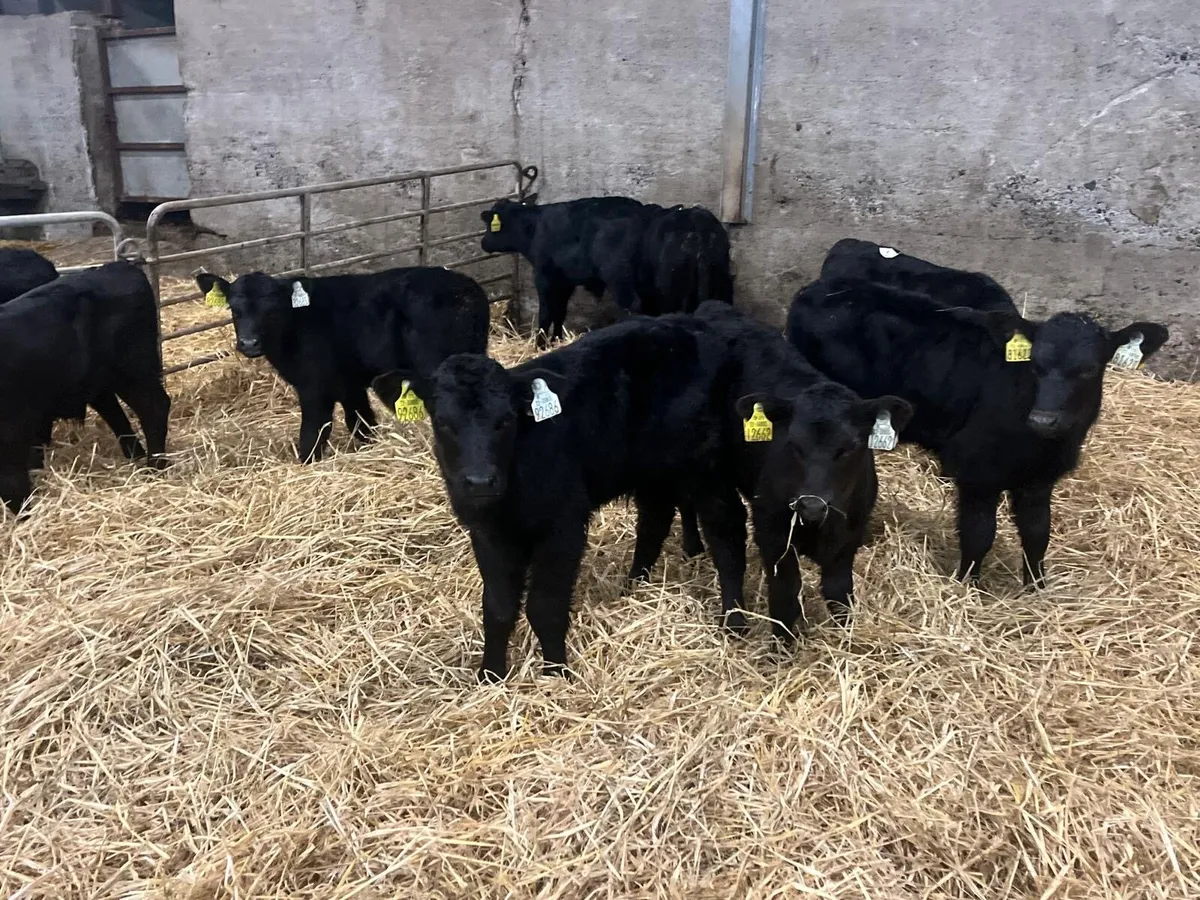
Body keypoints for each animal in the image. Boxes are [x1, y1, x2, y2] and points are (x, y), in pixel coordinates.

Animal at [0, 261, 170, 515]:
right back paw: (137, 457)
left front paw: (24, 513)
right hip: (98, 382)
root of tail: (116, 267)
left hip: (133, 371)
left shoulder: (10, 428)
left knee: (154, 408)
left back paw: (154, 467)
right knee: (116, 414)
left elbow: (12, 481)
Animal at [195, 266, 490, 464]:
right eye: (234, 309)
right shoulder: (350, 383)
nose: (249, 343)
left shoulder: (314, 387)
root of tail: (468, 290)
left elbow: (313, 433)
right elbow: (361, 422)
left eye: (272, 310)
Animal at [372, 315, 747, 681]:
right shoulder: (487, 531)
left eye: (505, 420)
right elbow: (497, 607)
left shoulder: (563, 524)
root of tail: (693, 326)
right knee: (655, 518)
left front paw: (556, 673)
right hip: (653, 468)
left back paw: (734, 621)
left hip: (706, 461)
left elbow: (545, 606)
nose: (480, 481)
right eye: (443, 422)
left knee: (726, 532)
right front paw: (490, 675)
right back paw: (633, 586)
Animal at [694, 301, 911, 634]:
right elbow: (785, 592)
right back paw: (735, 620)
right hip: (713, 475)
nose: (811, 505)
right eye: (793, 444)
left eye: (848, 447)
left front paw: (845, 634)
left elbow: (838, 588)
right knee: (726, 541)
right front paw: (782, 643)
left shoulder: (851, 532)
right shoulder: (772, 531)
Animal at [786, 277, 1169, 587]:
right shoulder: (977, 471)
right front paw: (966, 585)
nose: (1044, 420)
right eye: (1036, 364)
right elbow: (979, 533)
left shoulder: (1040, 479)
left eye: (1089, 368)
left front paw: (1036, 588)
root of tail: (818, 289)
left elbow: (1037, 533)